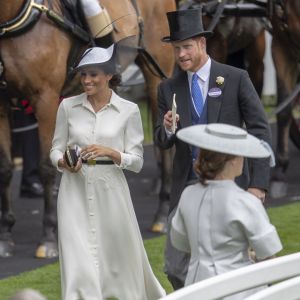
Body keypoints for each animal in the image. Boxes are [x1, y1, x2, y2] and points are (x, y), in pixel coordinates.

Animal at [0, 0, 176, 258]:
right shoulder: (1, 105)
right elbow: (5, 168)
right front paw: (5, 235)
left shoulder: (46, 99)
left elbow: (46, 168)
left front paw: (48, 238)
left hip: (157, 74)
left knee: (164, 146)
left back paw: (162, 214)